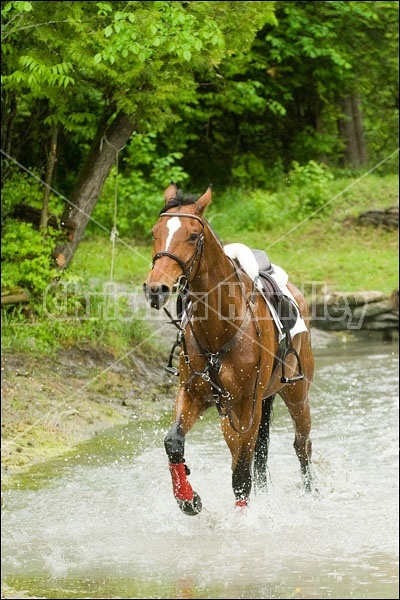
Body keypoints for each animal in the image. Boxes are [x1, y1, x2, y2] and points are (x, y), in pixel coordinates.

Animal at [144, 184, 316, 516]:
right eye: (154, 233)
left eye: (193, 236)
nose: (156, 288)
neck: (220, 327)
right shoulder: (193, 394)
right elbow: (173, 443)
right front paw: (188, 499)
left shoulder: (245, 408)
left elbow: (240, 474)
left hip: (295, 393)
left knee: (301, 446)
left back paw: (312, 493)